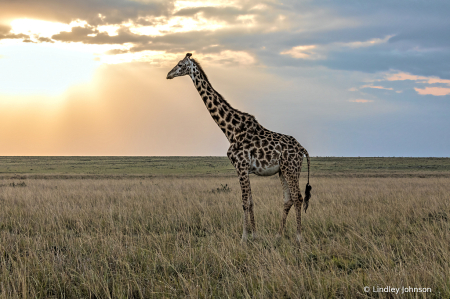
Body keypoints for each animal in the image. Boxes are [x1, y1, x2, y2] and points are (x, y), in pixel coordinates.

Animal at [167, 52, 312, 244]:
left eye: (180, 64)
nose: (168, 74)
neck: (230, 130)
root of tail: (302, 149)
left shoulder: (241, 166)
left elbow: (244, 202)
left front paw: (243, 237)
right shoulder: (245, 169)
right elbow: (250, 202)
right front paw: (254, 235)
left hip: (291, 168)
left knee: (298, 197)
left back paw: (298, 237)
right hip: (283, 171)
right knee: (288, 199)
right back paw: (278, 236)